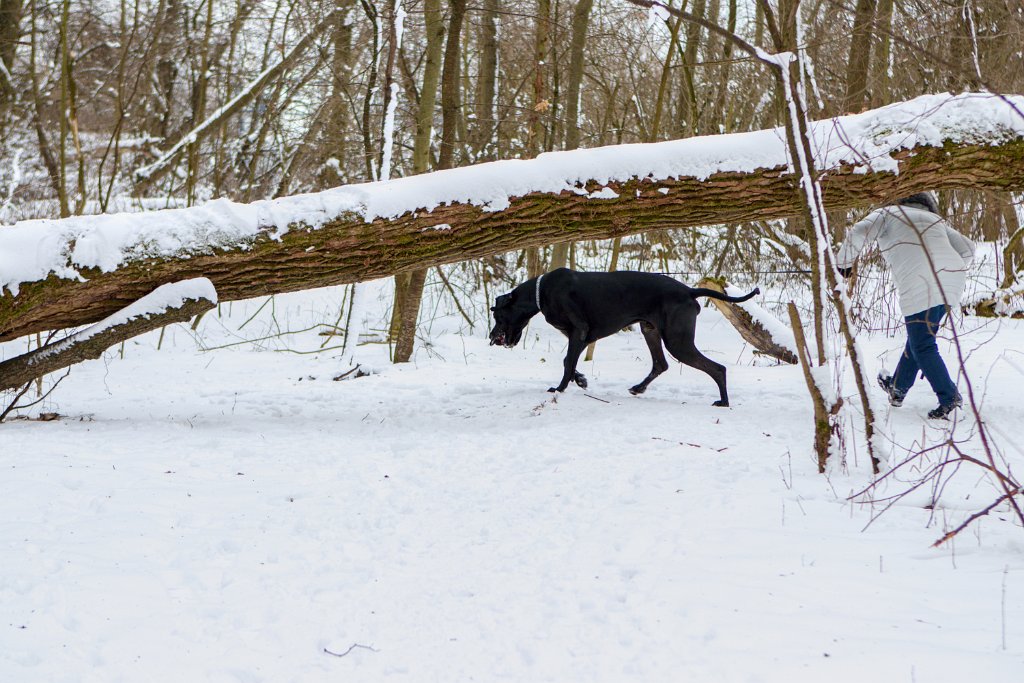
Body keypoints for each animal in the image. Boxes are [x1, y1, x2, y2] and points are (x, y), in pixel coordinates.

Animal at [487, 266, 761, 405]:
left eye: (497, 315)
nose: (491, 337)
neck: (540, 291)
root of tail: (689, 291)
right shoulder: (578, 336)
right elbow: (569, 362)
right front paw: (581, 380)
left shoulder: (579, 331)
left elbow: (567, 363)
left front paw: (560, 388)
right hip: (651, 331)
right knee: (660, 365)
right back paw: (638, 388)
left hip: (677, 341)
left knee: (717, 369)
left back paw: (723, 402)